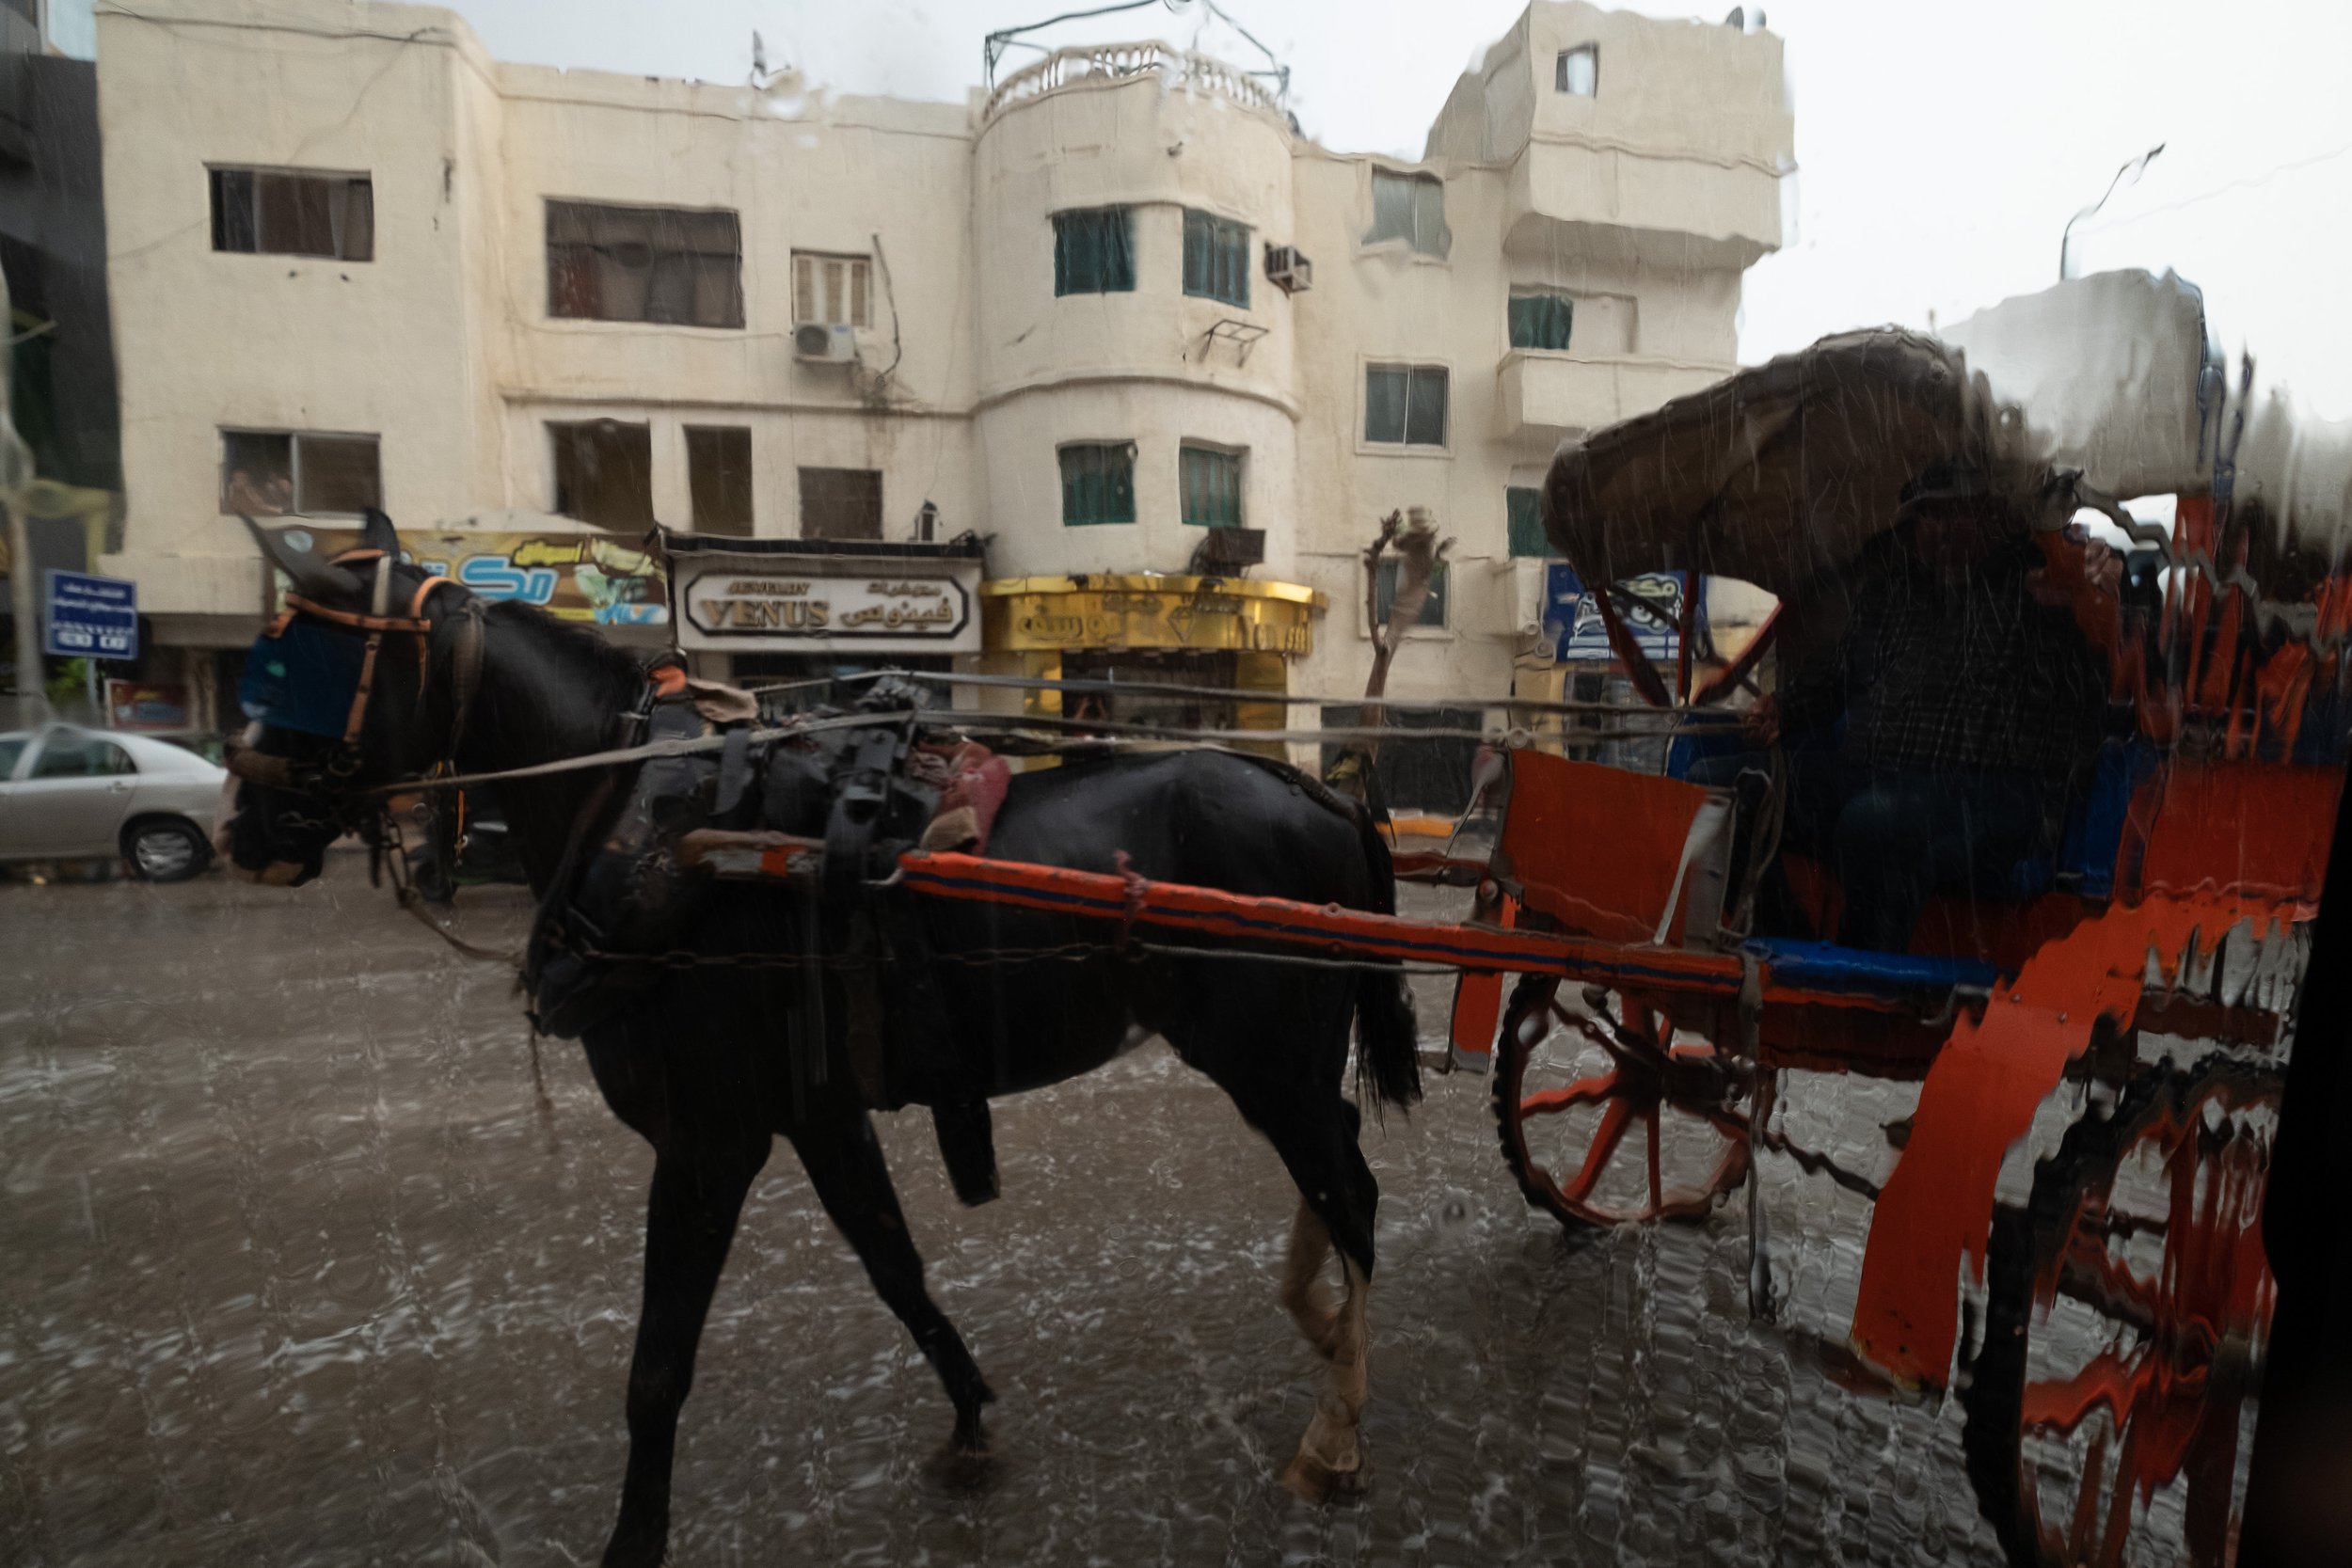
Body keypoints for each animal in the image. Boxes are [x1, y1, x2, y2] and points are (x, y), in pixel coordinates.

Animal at [224, 516, 1411, 1568]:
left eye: (295, 665)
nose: (243, 829)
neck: (653, 821)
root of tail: (1319, 791)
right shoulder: (817, 1110)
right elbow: (893, 1263)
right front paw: (969, 1413)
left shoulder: (708, 1139)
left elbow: (658, 1363)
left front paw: (634, 1536)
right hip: (1286, 1059)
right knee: (1334, 1167)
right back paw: (1320, 1320)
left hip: (1266, 1055)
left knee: (1350, 1188)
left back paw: (1338, 1427)